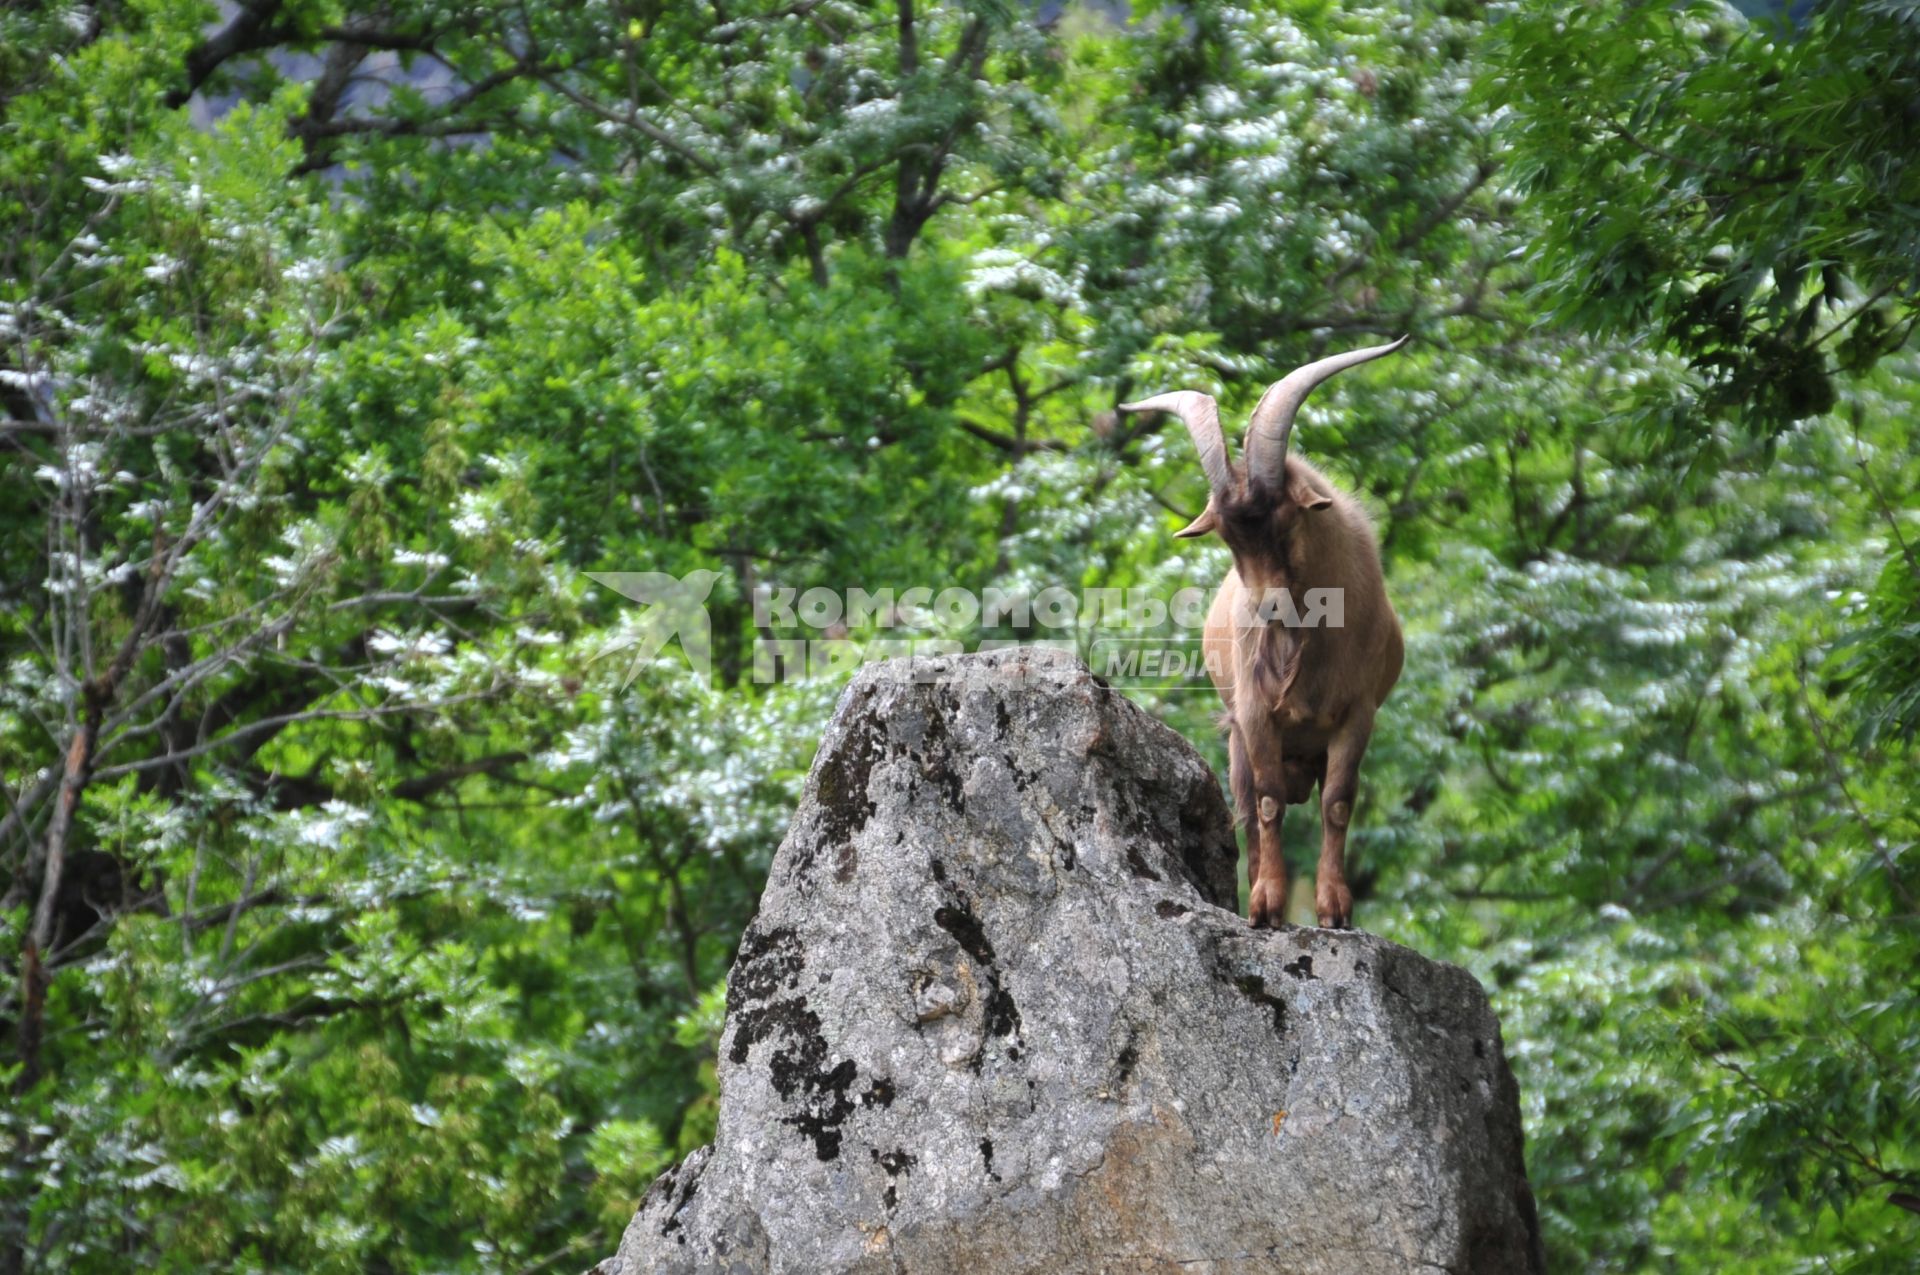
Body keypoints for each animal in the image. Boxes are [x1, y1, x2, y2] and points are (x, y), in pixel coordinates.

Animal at [1121, 337, 1413, 925]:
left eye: (1286, 520)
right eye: (1227, 537)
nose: (1265, 606)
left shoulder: (1358, 713)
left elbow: (1338, 803)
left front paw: (1334, 910)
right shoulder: (1255, 713)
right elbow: (1268, 801)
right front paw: (1266, 905)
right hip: (1237, 742)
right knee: (1250, 808)